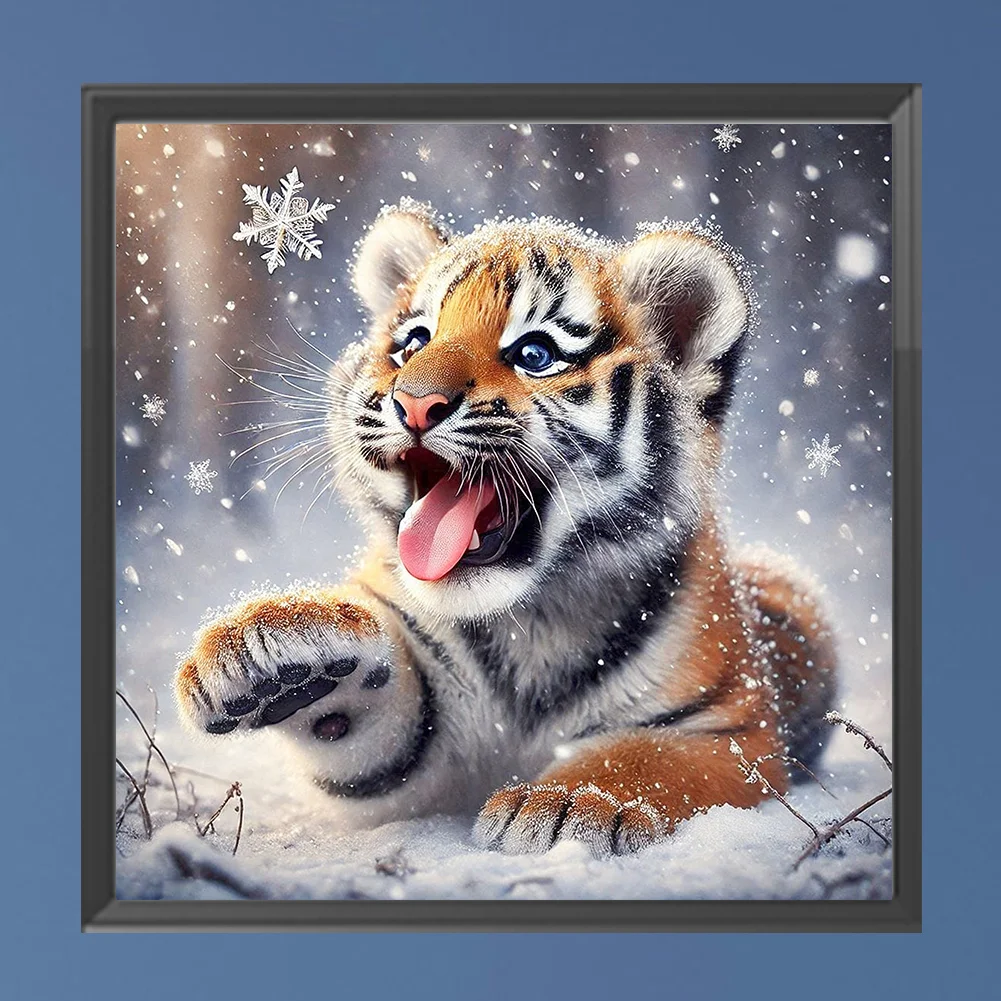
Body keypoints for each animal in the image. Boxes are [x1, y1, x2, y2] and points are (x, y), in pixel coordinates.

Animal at [175, 198, 837, 857]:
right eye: (413, 341)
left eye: (534, 354)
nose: (414, 404)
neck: (533, 621)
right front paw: (272, 648)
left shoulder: (731, 727)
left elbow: (647, 755)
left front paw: (567, 802)